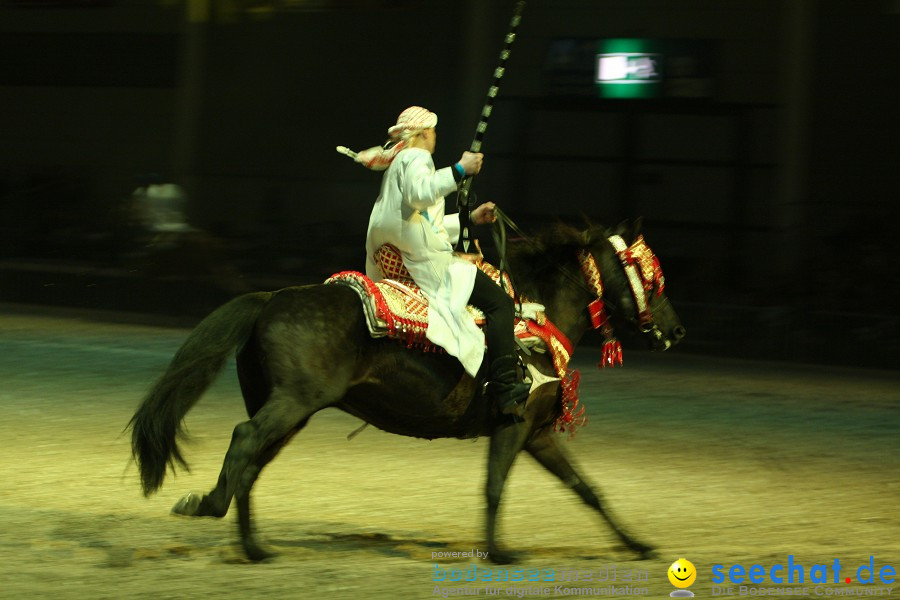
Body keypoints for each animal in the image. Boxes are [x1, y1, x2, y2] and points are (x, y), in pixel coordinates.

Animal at [130, 219, 684, 564]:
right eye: (651, 279)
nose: (676, 331)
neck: (535, 318)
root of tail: (271, 299)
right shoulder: (516, 424)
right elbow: (495, 486)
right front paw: (500, 553)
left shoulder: (537, 433)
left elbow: (586, 489)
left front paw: (638, 545)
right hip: (291, 404)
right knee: (244, 441)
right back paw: (206, 506)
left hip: (288, 412)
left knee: (250, 464)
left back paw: (253, 548)